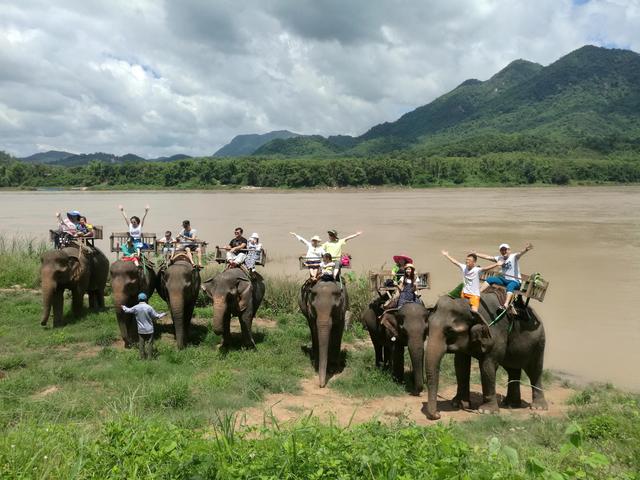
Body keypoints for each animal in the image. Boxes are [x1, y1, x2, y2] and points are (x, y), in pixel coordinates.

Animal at [424, 288, 544, 420]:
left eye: (449, 331)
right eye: (428, 328)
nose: (437, 414)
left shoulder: (495, 333)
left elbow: (488, 366)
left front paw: (486, 411)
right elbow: (460, 364)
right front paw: (458, 404)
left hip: (538, 344)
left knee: (535, 371)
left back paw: (538, 407)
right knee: (513, 369)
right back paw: (511, 404)